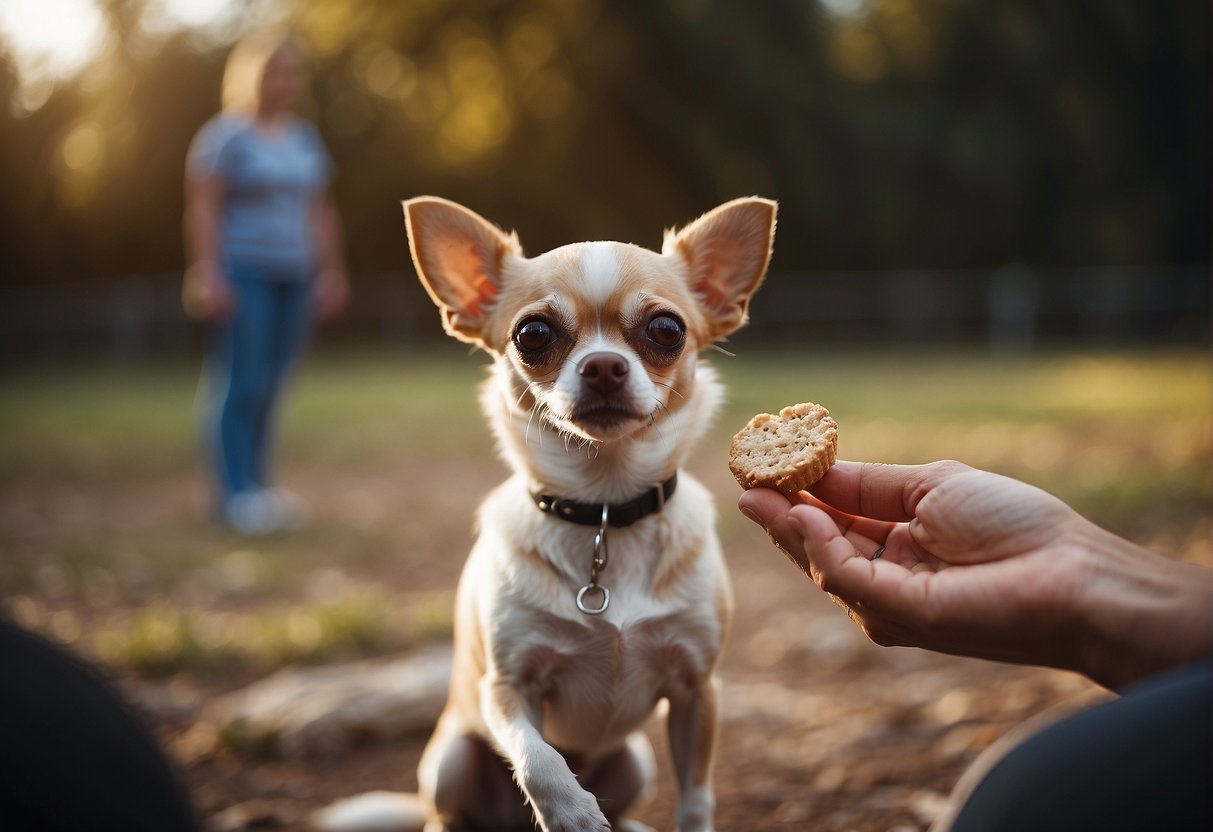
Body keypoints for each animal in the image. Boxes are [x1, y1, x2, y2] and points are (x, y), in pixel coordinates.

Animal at [317, 197, 776, 832]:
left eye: (667, 329)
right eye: (532, 334)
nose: (604, 366)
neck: (604, 510)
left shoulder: (697, 691)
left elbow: (696, 799)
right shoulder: (507, 687)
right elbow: (537, 755)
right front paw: (571, 810)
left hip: (636, 762)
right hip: (452, 760)